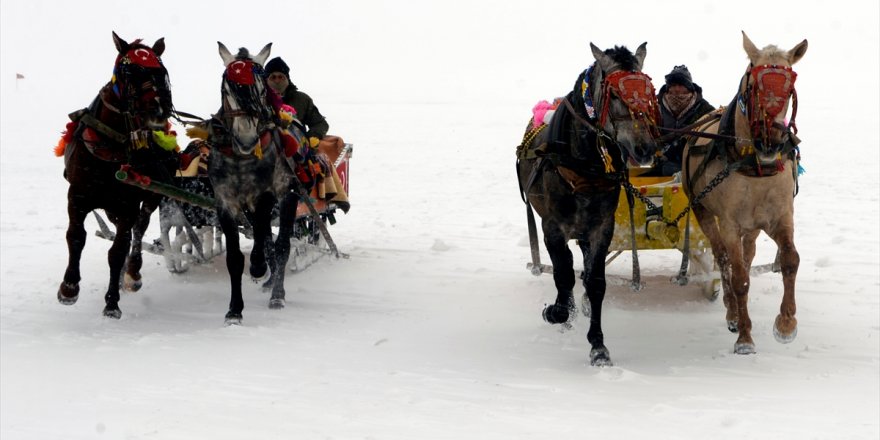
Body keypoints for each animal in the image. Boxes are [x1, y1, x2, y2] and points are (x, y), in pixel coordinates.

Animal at [56, 31, 177, 320]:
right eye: (128, 70)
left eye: (161, 71)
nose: (158, 110)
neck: (111, 144)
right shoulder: (77, 196)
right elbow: (76, 237)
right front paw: (69, 287)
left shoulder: (128, 205)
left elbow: (119, 249)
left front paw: (112, 302)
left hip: (150, 195)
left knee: (139, 228)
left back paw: (132, 272)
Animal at [205, 42, 308, 324]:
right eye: (227, 86)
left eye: (262, 88)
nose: (247, 139)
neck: (241, 158)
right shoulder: (225, 201)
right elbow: (234, 257)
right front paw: (234, 310)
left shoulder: (265, 195)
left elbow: (267, 240)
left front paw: (259, 266)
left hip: (289, 194)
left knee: (281, 245)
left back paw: (277, 293)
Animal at [684, 31, 808, 354]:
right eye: (753, 84)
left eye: (790, 86)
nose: (771, 141)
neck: (756, 165)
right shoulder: (729, 223)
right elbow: (738, 277)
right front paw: (744, 336)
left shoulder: (781, 217)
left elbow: (790, 260)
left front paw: (786, 324)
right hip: (703, 211)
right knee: (723, 258)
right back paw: (731, 311)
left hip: (753, 226)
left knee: (748, 253)